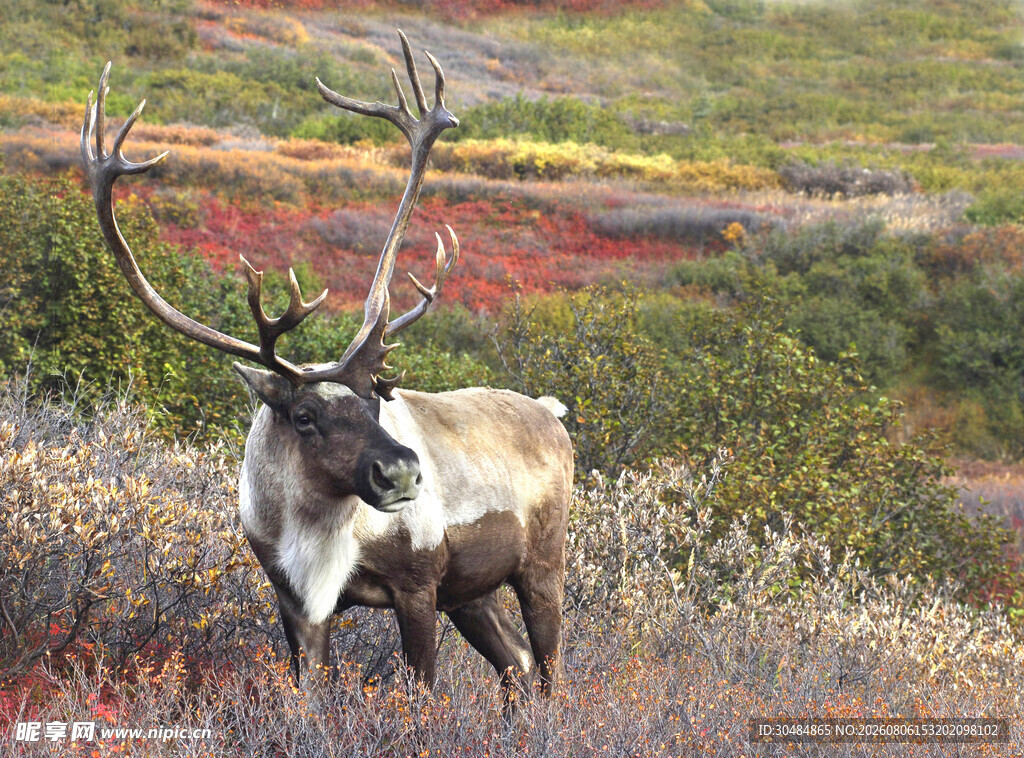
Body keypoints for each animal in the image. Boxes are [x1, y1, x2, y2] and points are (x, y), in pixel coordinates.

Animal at [81, 33, 573, 707]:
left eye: (375, 400)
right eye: (304, 414)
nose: (401, 473)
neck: (315, 530)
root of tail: (552, 412)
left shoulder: (418, 585)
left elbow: (420, 694)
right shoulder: (294, 598)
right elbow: (307, 696)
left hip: (540, 565)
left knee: (550, 668)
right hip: (471, 591)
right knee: (518, 663)